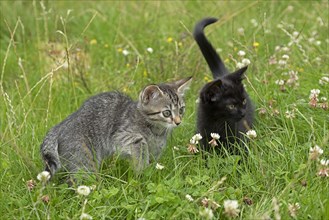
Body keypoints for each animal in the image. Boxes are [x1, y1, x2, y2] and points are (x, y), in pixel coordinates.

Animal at [39, 77, 191, 177]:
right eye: (167, 113)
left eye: (181, 110)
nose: (178, 122)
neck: (156, 130)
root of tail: (61, 125)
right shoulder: (121, 136)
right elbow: (141, 146)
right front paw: (142, 171)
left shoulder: (156, 150)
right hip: (84, 159)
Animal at [192, 17, 254, 154]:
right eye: (231, 106)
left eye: (243, 101)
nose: (243, 113)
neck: (219, 124)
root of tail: (222, 76)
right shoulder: (204, 136)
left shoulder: (239, 137)